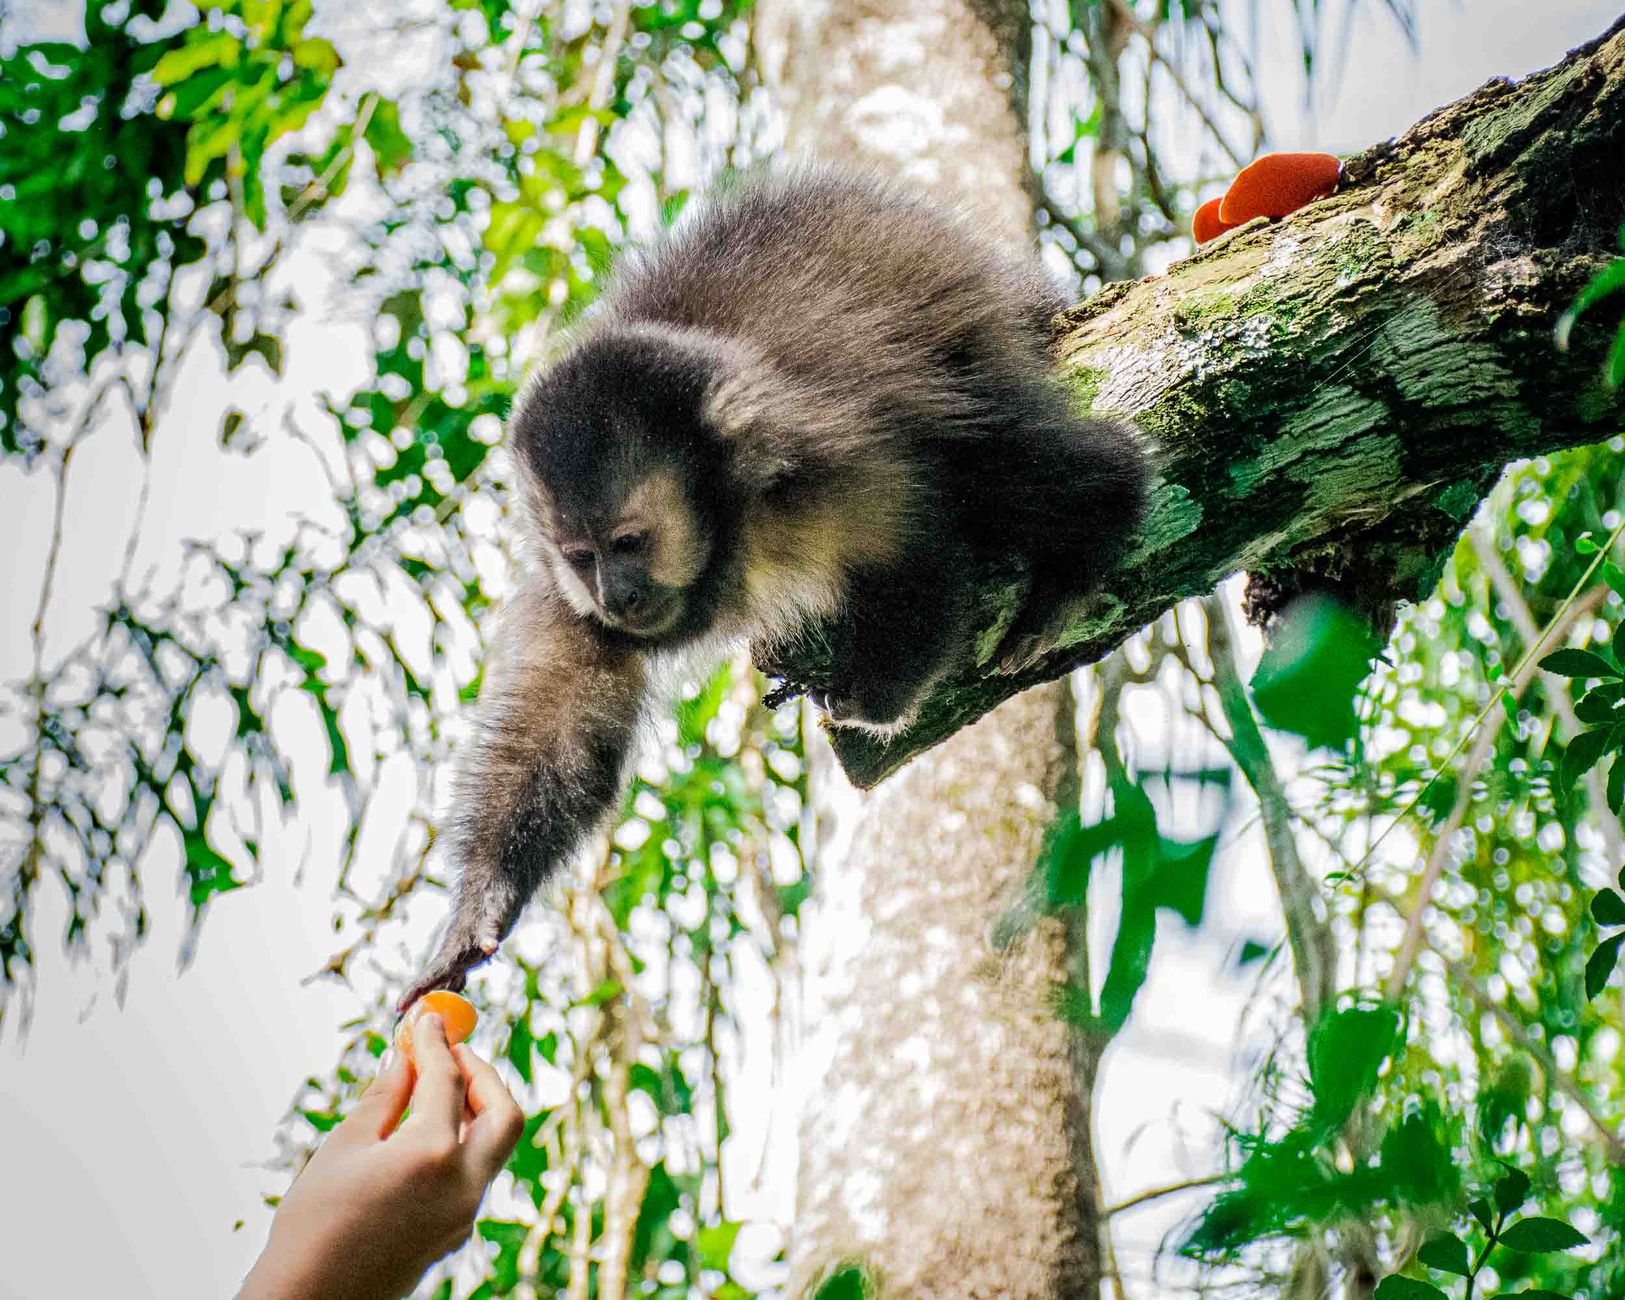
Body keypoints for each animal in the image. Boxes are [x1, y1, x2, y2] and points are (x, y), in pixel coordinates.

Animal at [399, 166, 1148, 1010]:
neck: (730, 518)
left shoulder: (821, 448)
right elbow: (559, 722)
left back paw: (1099, 515)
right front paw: (482, 903)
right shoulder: (562, 590)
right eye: (582, 556)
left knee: (987, 448)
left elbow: (922, 526)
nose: (617, 598)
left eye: (631, 544)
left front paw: (875, 695)